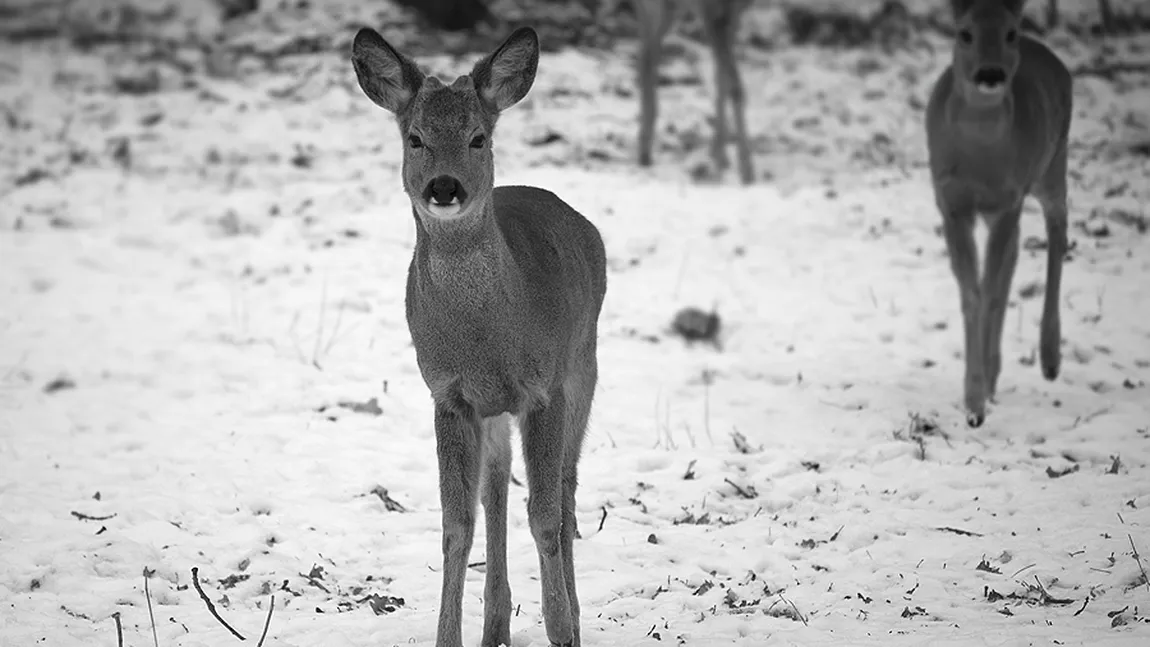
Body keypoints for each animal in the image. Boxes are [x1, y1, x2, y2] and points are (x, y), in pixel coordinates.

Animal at [349, 23, 607, 647]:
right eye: (415, 138)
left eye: (477, 138)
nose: (444, 187)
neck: (483, 335)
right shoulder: (448, 395)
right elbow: (456, 523)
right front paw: (451, 635)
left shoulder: (543, 390)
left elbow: (544, 514)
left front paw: (560, 626)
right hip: (496, 411)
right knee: (496, 491)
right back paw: (496, 623)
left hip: (583, 369)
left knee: (566, 492)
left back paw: (572, 615)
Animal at [630, 0, 754, 183]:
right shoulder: (712, 13)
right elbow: (734, 85)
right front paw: (746, 172)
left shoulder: (734, 13)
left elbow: (721, 80)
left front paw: (719, 156)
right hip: (662, 9)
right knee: (647, 58)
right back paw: (644, 153)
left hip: (665, 9)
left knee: (646, 55)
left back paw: (644, 151)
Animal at [920, 1, 1071, 429]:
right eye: (964, 33)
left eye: (1009, 33)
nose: (990, 74)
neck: (980, 154)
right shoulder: (952, 203)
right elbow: (972, 291)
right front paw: (974, 399)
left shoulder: (1007, 200)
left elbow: (987, 291)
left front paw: (976, 401)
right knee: (1015, 256)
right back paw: (995, 374)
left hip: (1052, 163)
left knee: (1058, 227)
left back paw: (1050, 358)